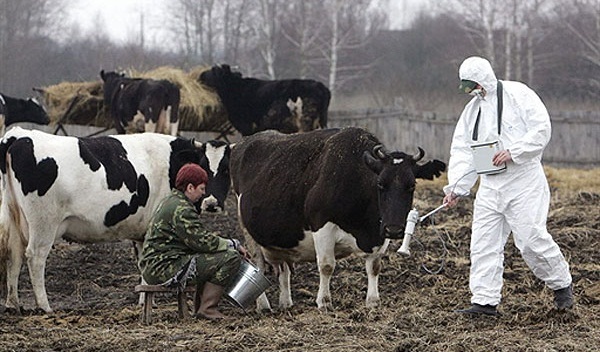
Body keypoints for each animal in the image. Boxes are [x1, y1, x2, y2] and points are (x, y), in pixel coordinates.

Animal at [0, 126, 232, 314]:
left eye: (226, 170)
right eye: (203, 166)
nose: (211, 203)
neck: (170, 162)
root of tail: (19, 135)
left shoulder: (142, 231)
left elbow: (142, 262)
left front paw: (145, 299)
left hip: (14, 217)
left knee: (14, 254)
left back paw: (13, 304)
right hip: (44, 222)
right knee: (35, 257)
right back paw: (44, 306)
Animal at [199, 64, 330, 135]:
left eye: (214, 71)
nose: (201, 75)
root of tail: (320, 85)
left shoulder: (246, 125)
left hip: (305, 119)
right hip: (321, 121)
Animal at [230, 128, 446, 310]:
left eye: (412, 185)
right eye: (380, 184)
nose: (394, 229)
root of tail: (246, 141)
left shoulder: (379, 233)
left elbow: (374, 267)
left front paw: (373, 301)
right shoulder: (321, 225)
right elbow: (327, 265)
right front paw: (324, 302)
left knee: (283, 269)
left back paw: (286, 303)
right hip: (247, 230)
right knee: (257, 266)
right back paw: (263, 306)